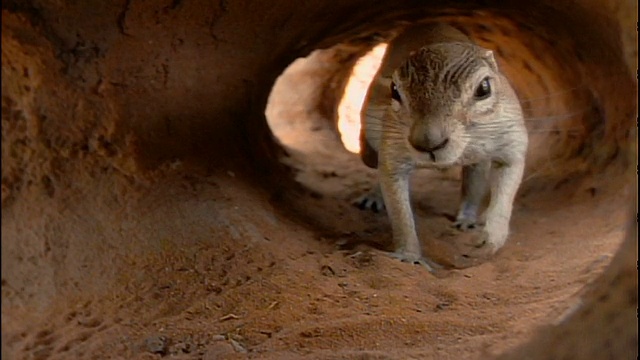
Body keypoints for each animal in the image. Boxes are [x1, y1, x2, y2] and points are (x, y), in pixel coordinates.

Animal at [358, 23, 528, 270]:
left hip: (479, 161)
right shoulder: (392, 150)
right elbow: (399, 212)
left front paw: (489, 240)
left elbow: (504, 197)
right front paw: (409, 255)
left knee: (473, 183)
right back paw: (373, 197)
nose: (428, 143)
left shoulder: (511, 141)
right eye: (394, 90)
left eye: (484, 87)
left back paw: (467, 219)